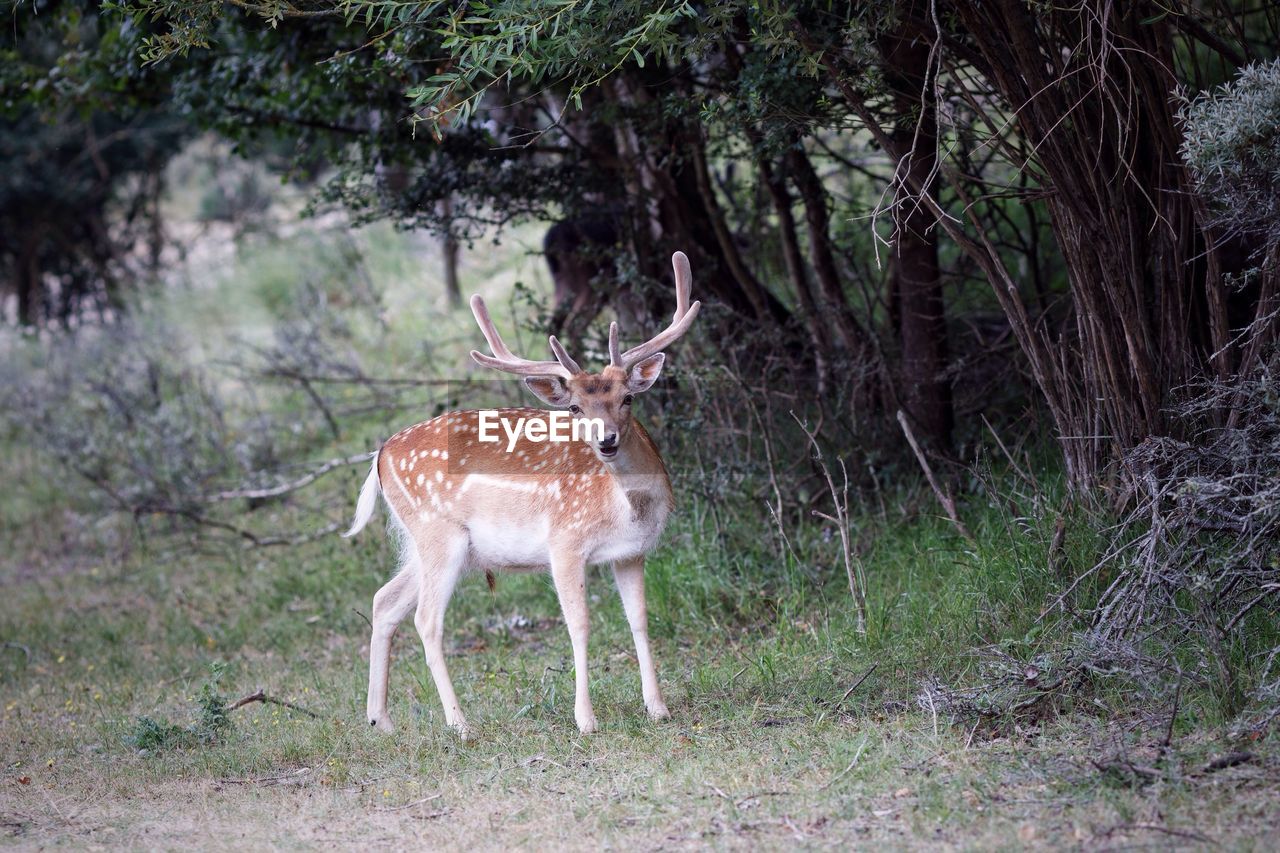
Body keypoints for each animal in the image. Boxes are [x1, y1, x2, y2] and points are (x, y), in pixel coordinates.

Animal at [343, 251, 701, 738]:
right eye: (575, 408)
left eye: (627, 398)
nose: (606, 441)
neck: (628, 509)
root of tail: (380, 454)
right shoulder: (564, 542)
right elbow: (580, 625)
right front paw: (585, 720)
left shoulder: (632, 552)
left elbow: (640, 621)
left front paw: (658, 708)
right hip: (438, 533)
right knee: (427, 620)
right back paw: (460, 724)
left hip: (428, 543)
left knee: (385, 600)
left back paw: (381, 719)